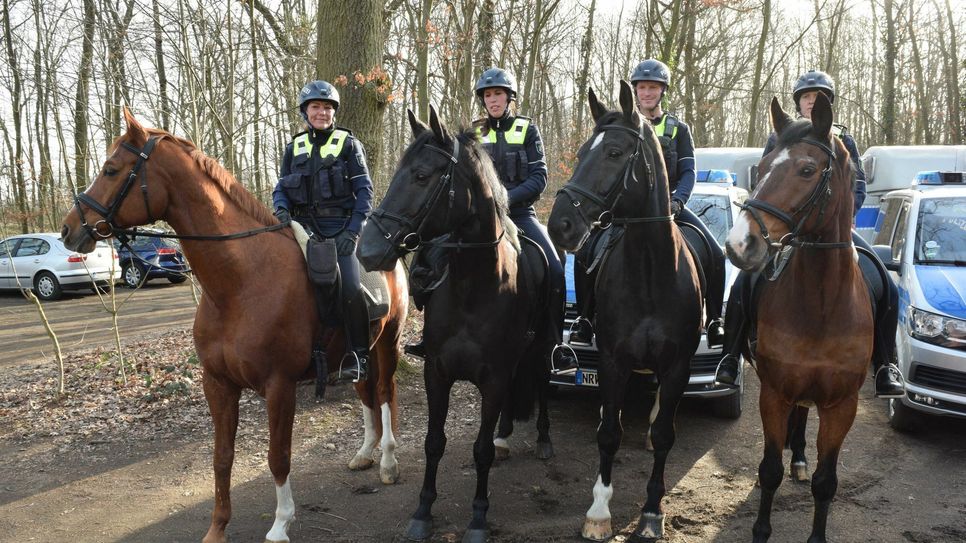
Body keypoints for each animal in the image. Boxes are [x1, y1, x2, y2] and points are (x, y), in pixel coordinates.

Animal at [60, 108, 408, 543]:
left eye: (110, 169)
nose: (69, 229)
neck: (239, 283)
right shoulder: (218, 383)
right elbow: (222, 457)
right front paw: (217, 528)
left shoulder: (279, 386)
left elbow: (278, 457)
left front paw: (280, 524)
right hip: (357, 350)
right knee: (365, 391)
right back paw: (364, 454)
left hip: (389, 341)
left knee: (385, 392)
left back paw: (388, 463)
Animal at [357, 106, 554, 543]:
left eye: (421, 175)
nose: (367, 251)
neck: (473, 288)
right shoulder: (437, 372)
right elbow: (434, 442)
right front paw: (422, 512)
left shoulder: (493, 376)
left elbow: (479, 450)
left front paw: (478, 519)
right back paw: (504, 434)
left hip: (543, 345)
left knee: (543, 381)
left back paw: (544, 440)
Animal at [547, 80, 703, 541]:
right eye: (582, 152)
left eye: (614, 153)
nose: (559, 225)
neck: (650, 273)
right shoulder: (613, 361)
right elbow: (608, 435)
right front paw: (599, 511)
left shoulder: (677, 365)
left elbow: (665, 434)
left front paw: (652, 512)